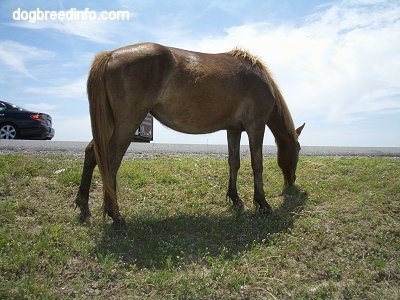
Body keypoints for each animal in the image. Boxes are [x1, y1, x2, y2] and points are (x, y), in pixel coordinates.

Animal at [75, 41, 304, 225]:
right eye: (299, 150)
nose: (292, 182)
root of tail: (110, 55)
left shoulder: (234, 130)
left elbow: (234, 162)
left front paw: (235, 199)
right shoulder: (256, 126)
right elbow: (257, 164)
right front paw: (263, 203)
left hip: (111, 124)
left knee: (92, 154)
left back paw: (85, 209)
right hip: (127, 124)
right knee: (111, 163)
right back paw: (115, 216)